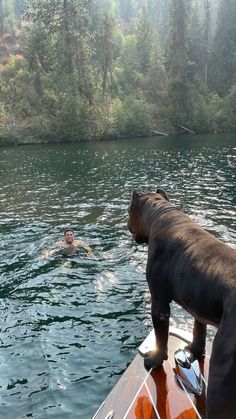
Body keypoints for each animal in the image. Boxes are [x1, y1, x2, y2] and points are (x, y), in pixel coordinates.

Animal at [128, 190, 236, 419]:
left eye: (128, 210)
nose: (127, 223)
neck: (161, 212)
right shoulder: (198, 304)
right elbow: (198, 331)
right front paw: (194, 350)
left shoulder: (159, 304)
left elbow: (161, 337)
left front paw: (155, 358)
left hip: (221, 377)